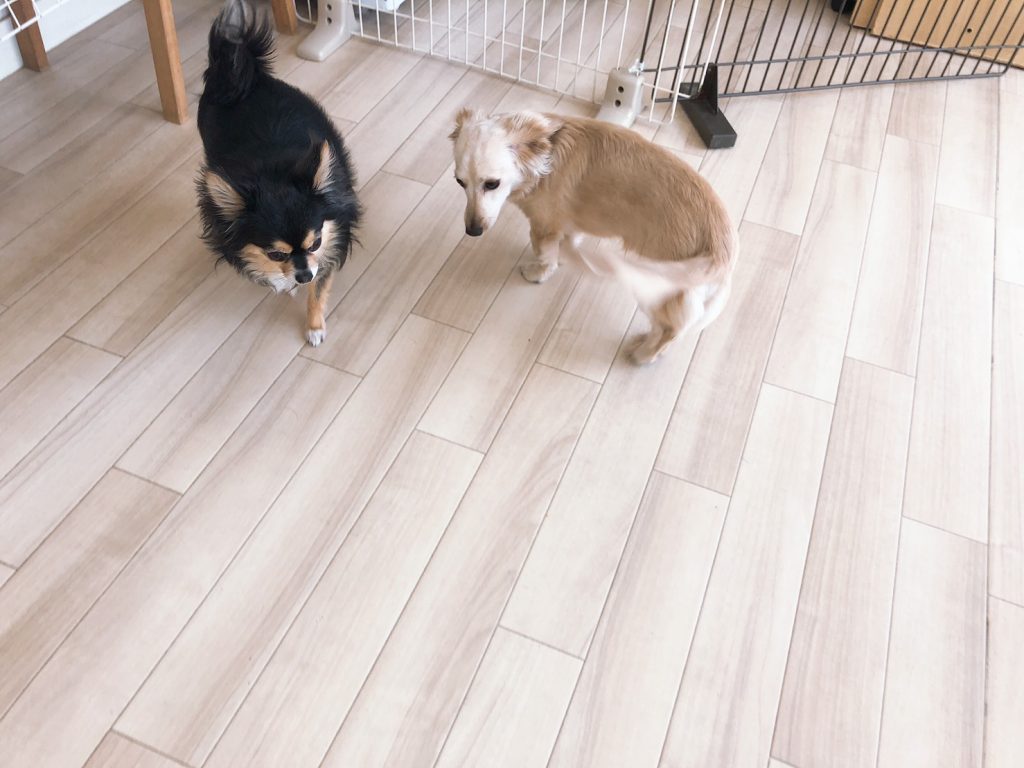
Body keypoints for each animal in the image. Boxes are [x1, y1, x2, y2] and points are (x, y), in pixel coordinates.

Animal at [197, 0, 360, 346]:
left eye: (315, 243)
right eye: (274, 254)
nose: (304, 274)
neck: (273, 174)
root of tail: (240, 77)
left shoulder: (331, 241)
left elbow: (318, 291)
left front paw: (314, 326)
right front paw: (287, 284)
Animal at [449, 109, 737, 364]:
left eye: (492, 184)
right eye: (460, 182)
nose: (472, 231)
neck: (544, 156)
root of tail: (722, 255)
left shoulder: (543, 225)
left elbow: (544, 254)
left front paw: (538, 272)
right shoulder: (568, 221)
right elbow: (568, 241)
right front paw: (564, 255)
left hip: (656, 289)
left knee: (668, 331)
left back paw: (643, 354)